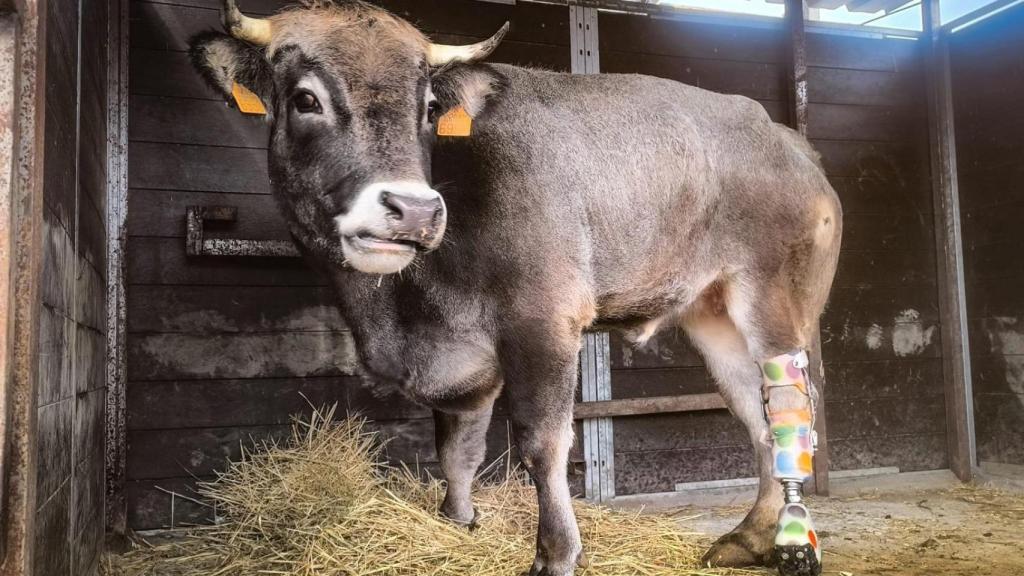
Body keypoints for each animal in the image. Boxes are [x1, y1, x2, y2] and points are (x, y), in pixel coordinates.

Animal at [189, 2, 842, 575]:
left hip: (772, 301)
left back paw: (789, 541)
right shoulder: (461, 359)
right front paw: (456, 522)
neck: (399, 309)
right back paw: (748, 540)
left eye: (429, 107)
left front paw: (556, 553)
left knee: (791, 408)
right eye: (305, 99)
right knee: (757, 420)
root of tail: (790, 142)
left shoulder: (543, 322)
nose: (415, 210)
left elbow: (541, 443)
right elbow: (457, 447)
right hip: (713, 317)